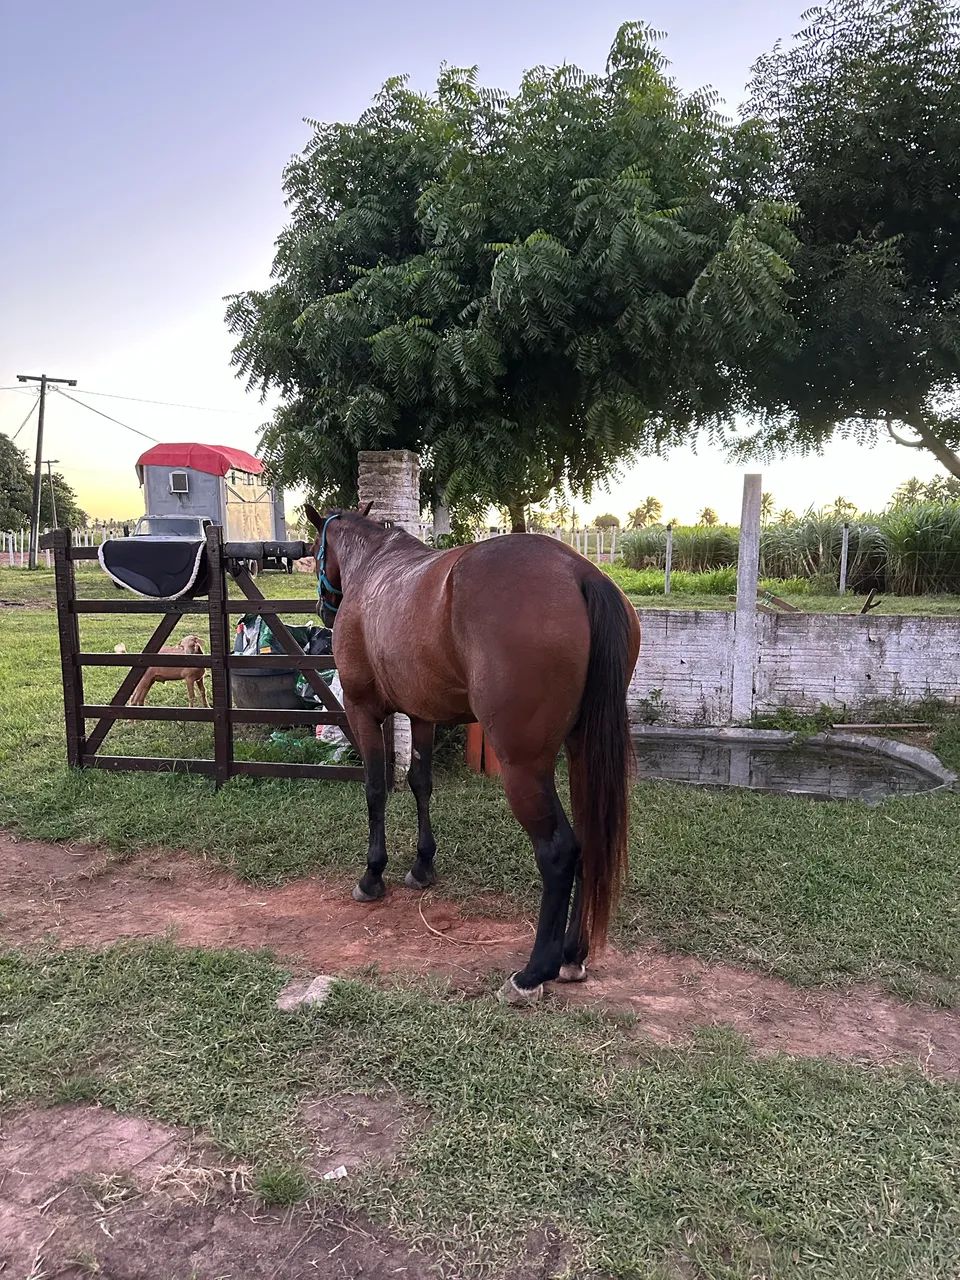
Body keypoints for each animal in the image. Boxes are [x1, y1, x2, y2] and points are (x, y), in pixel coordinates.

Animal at [304, 504, 641, 1006]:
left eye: (315, 549)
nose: (324, 612)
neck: (375, 568)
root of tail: (580, 572)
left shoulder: (363, 711)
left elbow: (376, 789)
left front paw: (372, 876)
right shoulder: (421, 714)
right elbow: (420, 784)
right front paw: (422, 866)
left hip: (524, 769)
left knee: (560, 850)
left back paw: (533, 972)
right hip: (582, 752)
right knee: (589, 842)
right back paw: (572, 955)